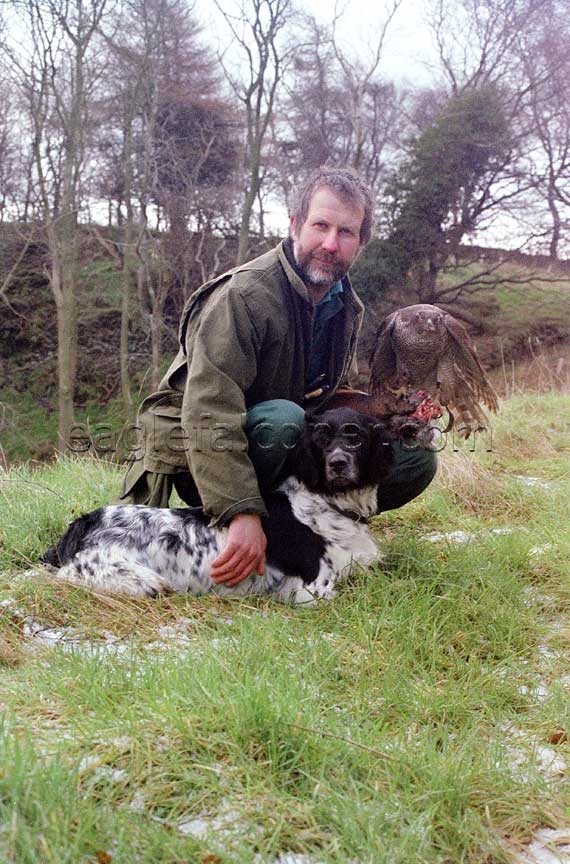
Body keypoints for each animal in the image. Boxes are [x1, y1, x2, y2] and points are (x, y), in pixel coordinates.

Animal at [42, 408, 392, 604]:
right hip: (141, 579)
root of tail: (85, 522)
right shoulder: (314, 590)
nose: (338, 463)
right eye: (321, 439)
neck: (327, 502)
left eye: (356, 436)